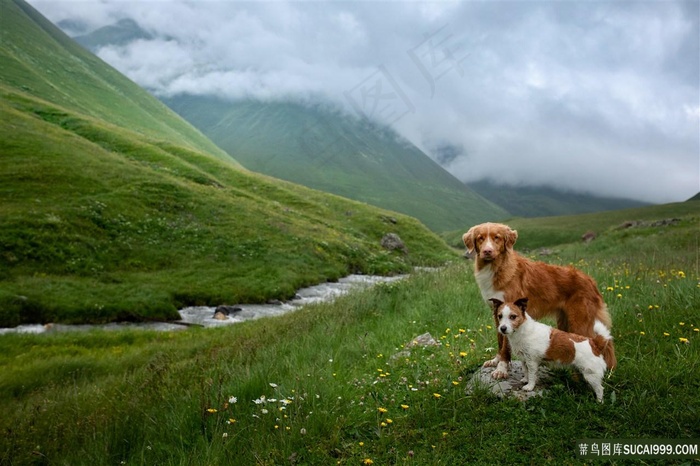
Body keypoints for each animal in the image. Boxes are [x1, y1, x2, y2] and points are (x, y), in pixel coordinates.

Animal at [464, 222, 616, 378]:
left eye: (497, 238)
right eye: (480, 238)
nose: (487, 251)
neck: (497, 267)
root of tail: (591, 280)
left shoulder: (510, 312)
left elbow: (506, 346)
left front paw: (502, 369)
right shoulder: (497, 314)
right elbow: (500, 341)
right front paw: (496, 360)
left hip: (580, 323)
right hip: (565, 322)